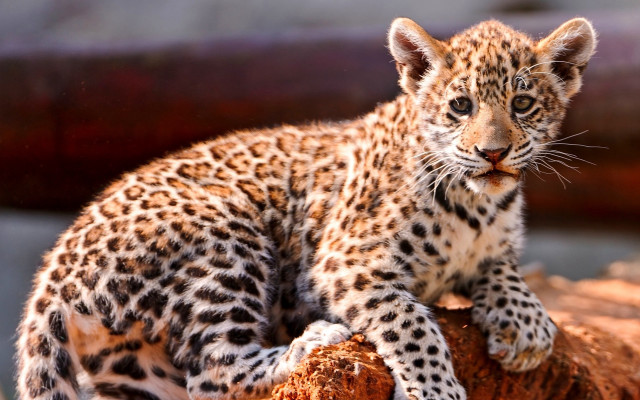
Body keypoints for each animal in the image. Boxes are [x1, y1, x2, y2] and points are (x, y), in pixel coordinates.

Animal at [16, 16, 596, 400]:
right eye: (461, 106)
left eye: (522, 104)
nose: (492, 153)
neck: (479, 205)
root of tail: (52, 272)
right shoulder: (344, 263)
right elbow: (411, 322)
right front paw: (435, 389)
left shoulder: (493, 247)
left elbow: (505, 270)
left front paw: (525, 325)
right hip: (225, 235)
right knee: (216, 371)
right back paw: (313, 341)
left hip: (131, 368)